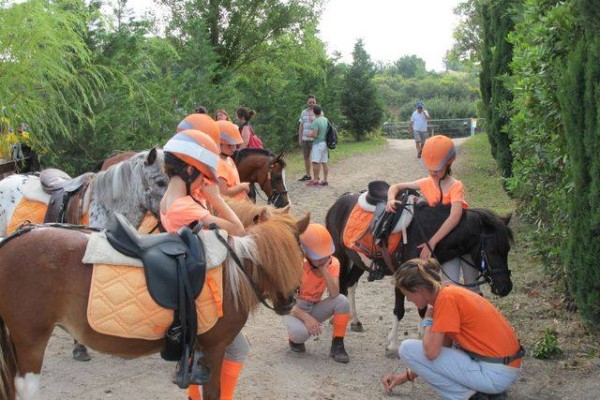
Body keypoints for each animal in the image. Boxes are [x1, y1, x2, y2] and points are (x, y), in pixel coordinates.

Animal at [0, 214, 310, 400]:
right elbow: (212, 391)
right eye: (301, 255)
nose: (291, 301)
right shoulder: (215, 346)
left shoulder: (201, 347)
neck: (233, 270)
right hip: (31, 339)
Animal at [326, 191, 512, 356]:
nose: (506, 288)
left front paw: (422, 336)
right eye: (493, 250)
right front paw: (392, 345)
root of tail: (339, 201)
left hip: (358, 260)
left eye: (507, 249)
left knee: (350, 284)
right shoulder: (400, 276)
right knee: (341, 285)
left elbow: (423, 308)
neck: (429, 235)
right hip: (341, 256)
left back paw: (355, 321)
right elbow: (399, 310)